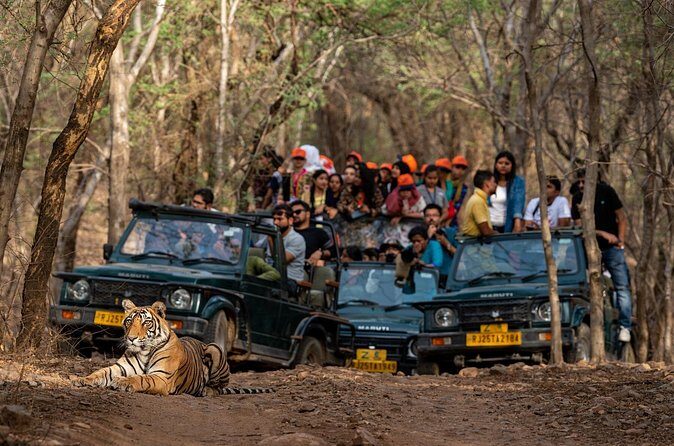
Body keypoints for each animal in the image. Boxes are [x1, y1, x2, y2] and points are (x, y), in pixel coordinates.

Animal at [72, 299, 272, 396]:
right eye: (129, 321)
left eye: (146, 323)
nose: (131, 338)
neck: (144, 350)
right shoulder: (119, 367)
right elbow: (100, 373)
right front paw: (80, 379)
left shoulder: (162, 377)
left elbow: (141, 378)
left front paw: (123, 382)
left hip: (215, 348)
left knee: (219, 388)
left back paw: (206, 391)